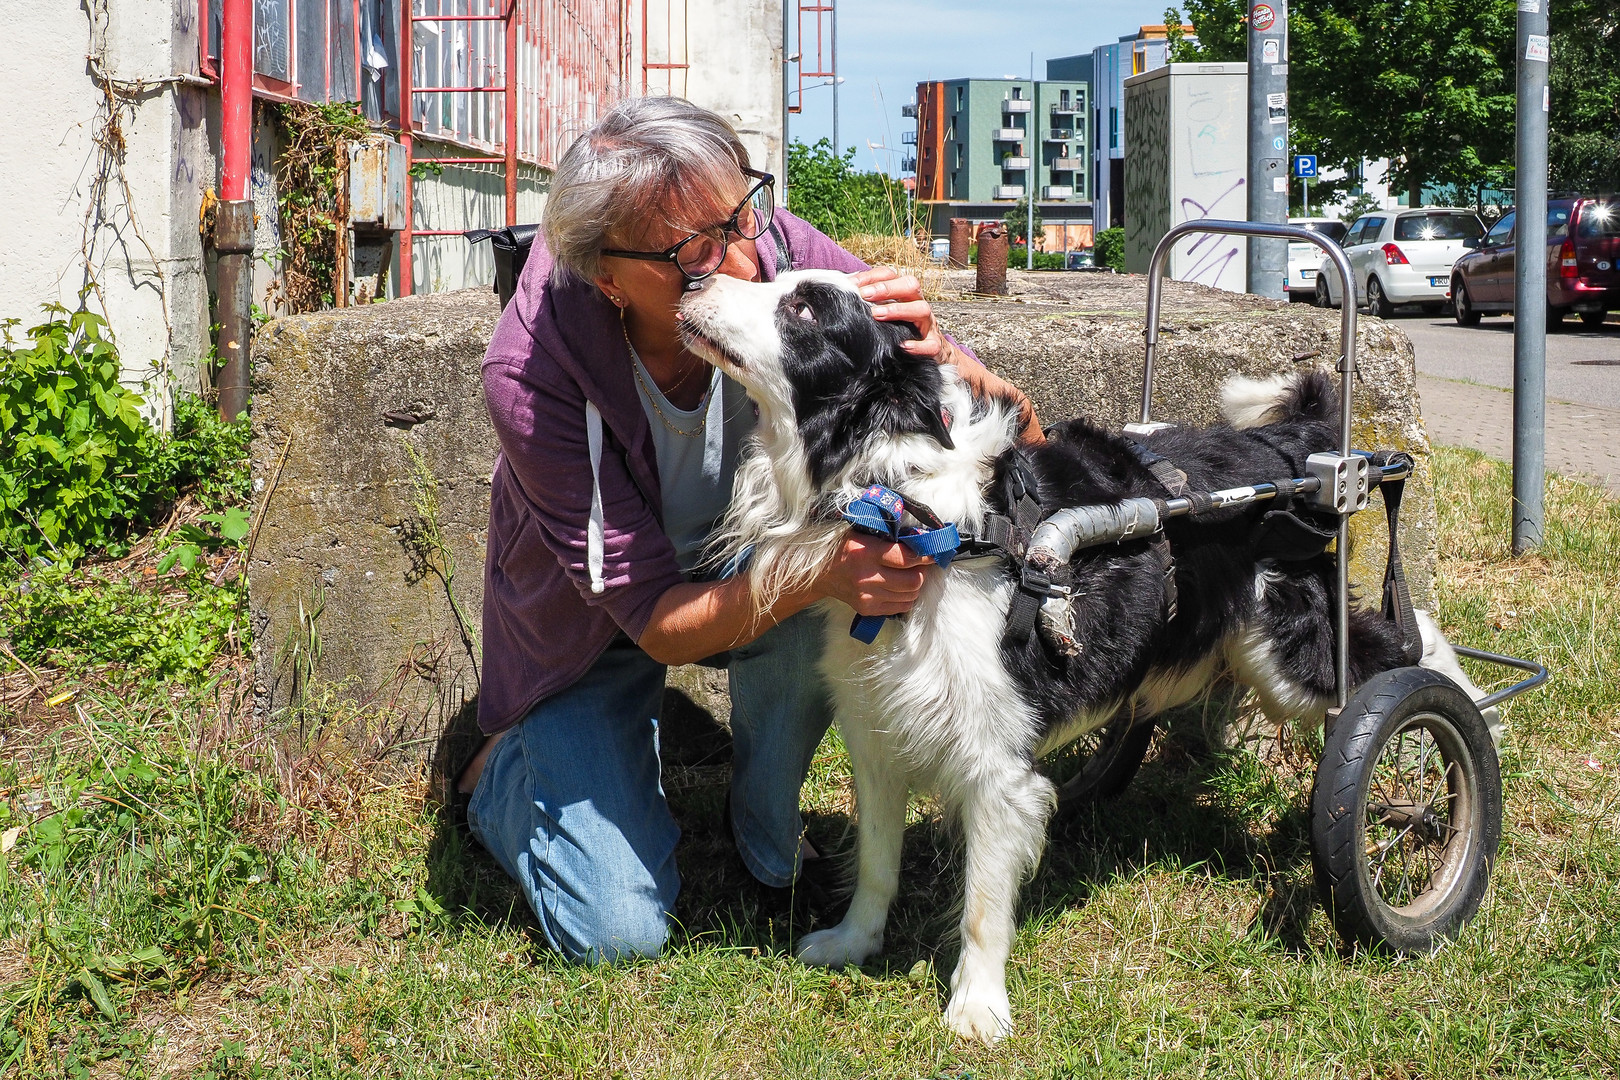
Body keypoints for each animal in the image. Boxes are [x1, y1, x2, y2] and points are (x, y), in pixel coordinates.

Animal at [673, 272, 1490, 1049]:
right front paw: (852, 943)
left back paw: (1461, 745)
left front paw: (978, 1009)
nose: (693, 280)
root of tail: (1285, 449)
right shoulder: (879, 733)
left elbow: (981, 906)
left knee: (1406, 648)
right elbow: (876, 862)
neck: (915, 509)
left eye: (807, 309)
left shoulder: (996, 764)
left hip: (1289, 649)